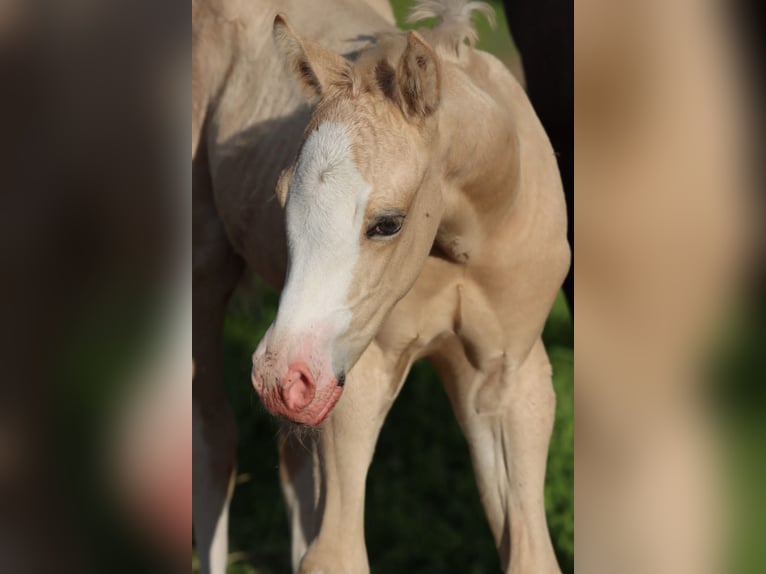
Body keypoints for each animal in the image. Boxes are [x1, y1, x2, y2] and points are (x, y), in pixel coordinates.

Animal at [193, 1, 569, 573]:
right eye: (281, 195)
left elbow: (532, 555)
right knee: (213, 441)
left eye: (388, 223)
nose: (281, 378)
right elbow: (337, 554)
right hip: (210, 268)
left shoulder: (509, 377)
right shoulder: (358, 377)